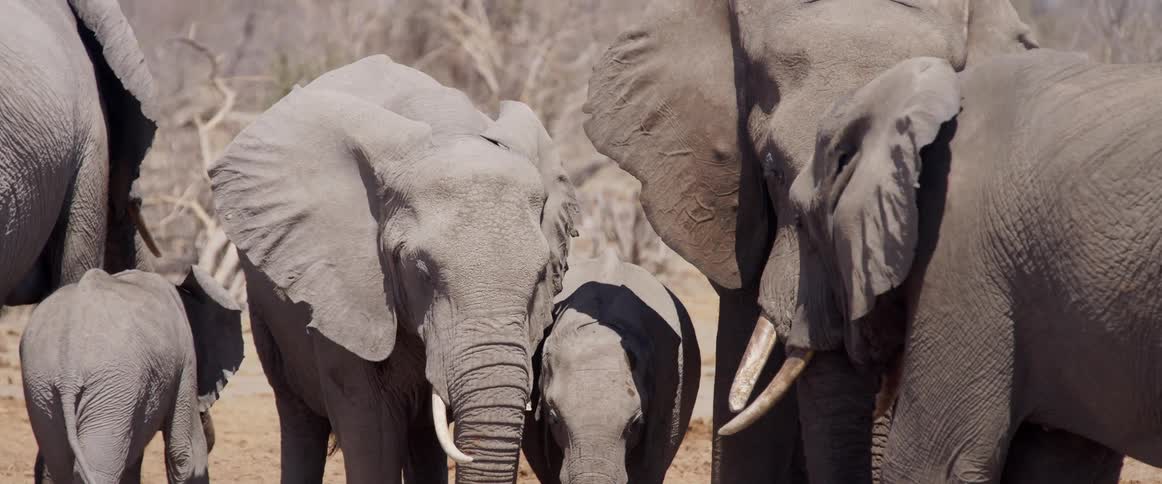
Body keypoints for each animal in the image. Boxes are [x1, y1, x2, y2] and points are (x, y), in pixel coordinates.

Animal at [20, 266, 243, 484]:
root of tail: (69, 369)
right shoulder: (186, 357)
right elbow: (185, 454)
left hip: (41, 385)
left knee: (60, 463)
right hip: (111, 383)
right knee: (97, 469)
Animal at [208, 55, 578, 484]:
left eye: (540, 277)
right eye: (421, 270)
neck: (447, 128)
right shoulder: (346, 289)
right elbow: (371, 431)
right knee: (299, 417)